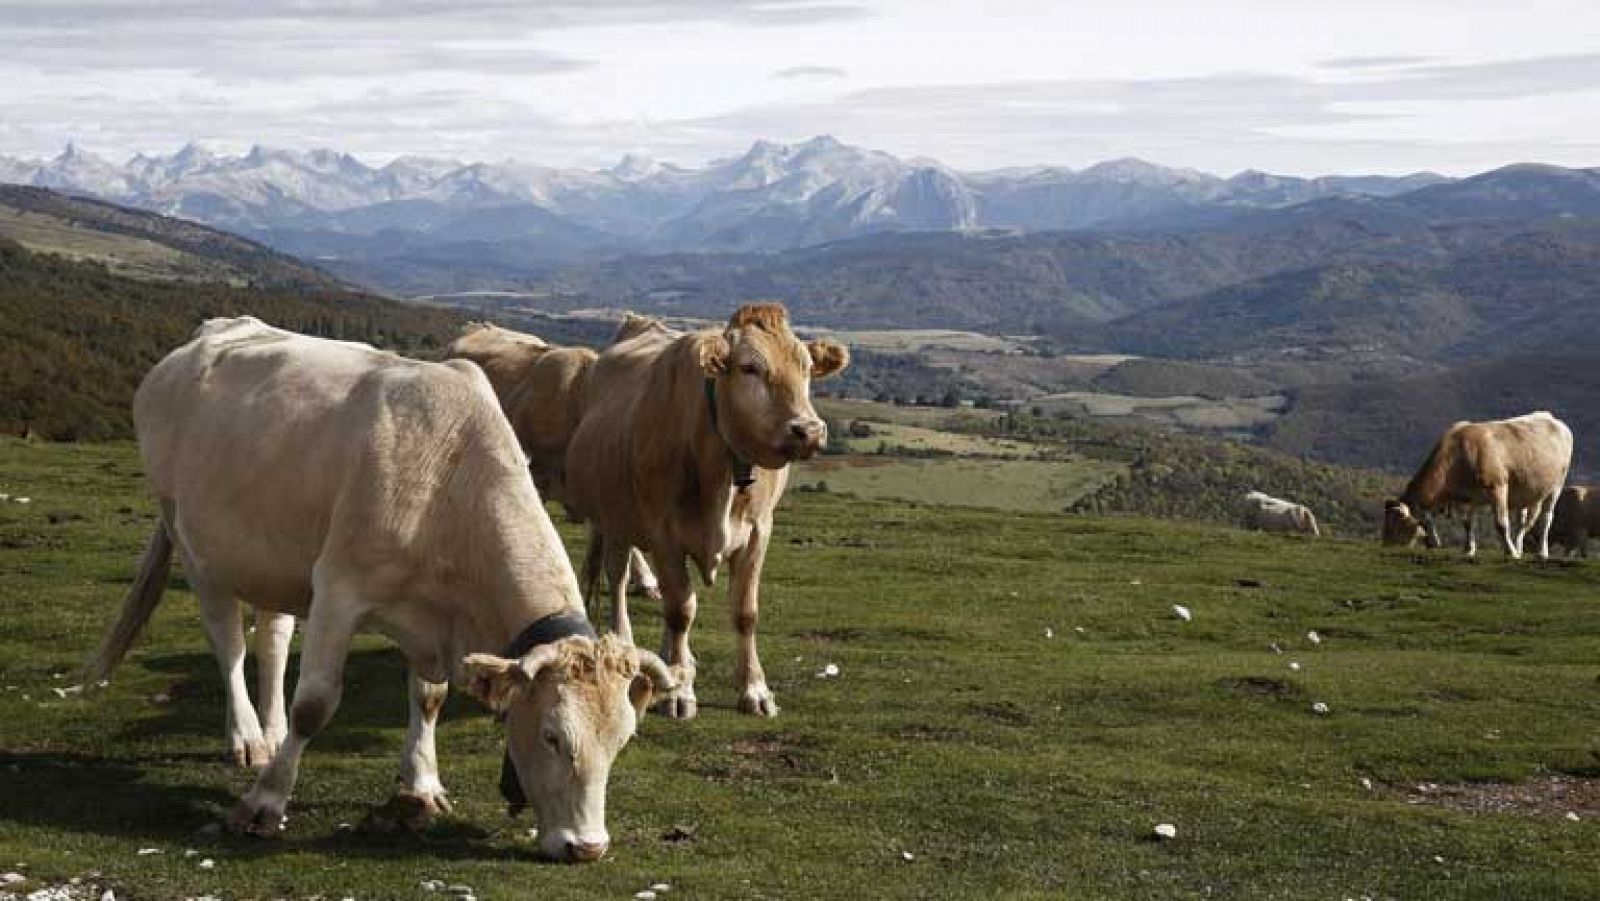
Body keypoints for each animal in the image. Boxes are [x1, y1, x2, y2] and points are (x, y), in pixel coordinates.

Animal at [84, 316, 672, 857]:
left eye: (622, 740)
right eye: (552, 736)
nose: (587, 847)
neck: (449, 483)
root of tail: (216, 330)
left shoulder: (430, 616)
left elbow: (430, 697)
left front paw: (423, 785)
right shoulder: (338, 591)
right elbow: (314, 705)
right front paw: (265, 802)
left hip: (274, 557)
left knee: (271, 638)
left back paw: (268, 732)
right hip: (194, 545)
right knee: (227, 642)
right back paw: (246, 736)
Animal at [1382, 412, 1580, 556]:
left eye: (1394, 524)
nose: (1385, 545)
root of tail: (1551, 418)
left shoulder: (1498, 487)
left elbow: (1501, 523)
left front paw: (1510, 553)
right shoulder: (1465, 498)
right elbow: (1467, 523)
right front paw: (1469, 550)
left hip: (1556, 486)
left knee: (1546, 519)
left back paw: (1541, 552)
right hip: (1525, 492)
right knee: (1522, 522)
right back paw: (1519, 548)